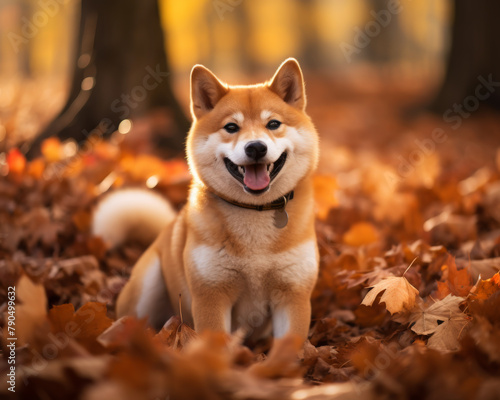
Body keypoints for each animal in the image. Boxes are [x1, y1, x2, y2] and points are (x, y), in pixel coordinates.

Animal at [93, 58, 320, 340]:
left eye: (273, 124)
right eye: (231, 127)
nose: (256, 147)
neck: (254, 212)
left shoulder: (293, 295)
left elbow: (290, 346)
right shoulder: (211, 295)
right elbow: (214, 344)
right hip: (148, 287)